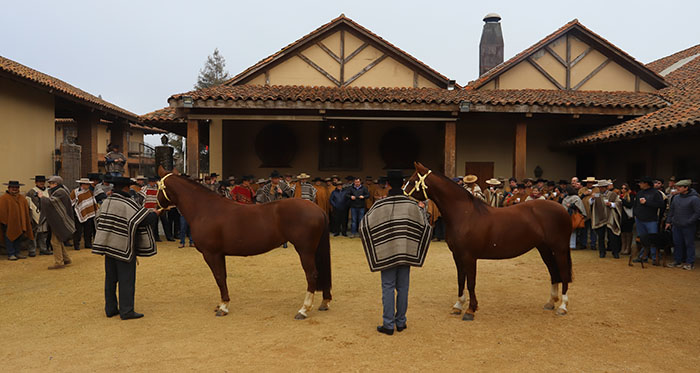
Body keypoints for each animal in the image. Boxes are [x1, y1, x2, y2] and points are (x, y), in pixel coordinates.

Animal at [156, 167, 330, 318]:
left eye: (158, 186)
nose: (156, 207)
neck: (205, 209)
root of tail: (317, 209)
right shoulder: (220, 254)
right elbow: (223, 276)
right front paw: (222, 303)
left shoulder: (211, 253)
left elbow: (218, 277)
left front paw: (223, 307)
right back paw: (325, 302)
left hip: (305, 250)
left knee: (311, 275)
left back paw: (303, 310)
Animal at [402, 161, 572, 318]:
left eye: (412, 179)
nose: (402, 194)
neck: (465, 214)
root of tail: (562, 209)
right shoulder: (457, 255)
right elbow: (460, 279)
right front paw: (458, 305)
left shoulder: (469, 256)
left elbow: (471, 282)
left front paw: (470, 310)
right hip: (544, 249)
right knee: (553, 272)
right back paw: (550, 302)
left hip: (560, 249)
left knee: (563, 273)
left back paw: (563, 307)